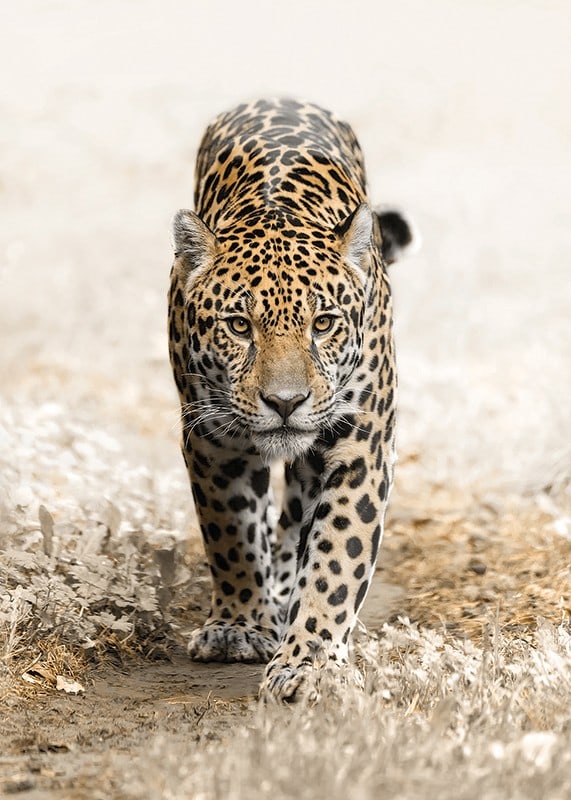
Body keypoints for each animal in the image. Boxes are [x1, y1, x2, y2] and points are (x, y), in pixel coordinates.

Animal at [167, 98, 416, 702]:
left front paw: (311, 662)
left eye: (323, 324)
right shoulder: (213, 442)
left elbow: (336, 559)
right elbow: (230, 533)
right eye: (239, 325)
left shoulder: (359, 448)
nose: (286, 402)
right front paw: (236, 626)